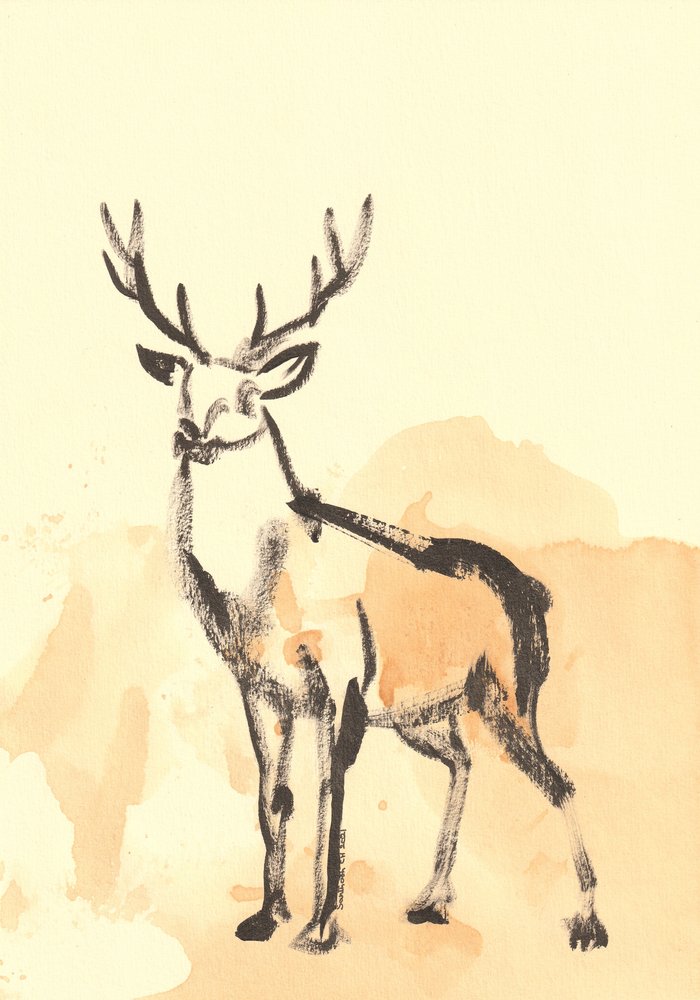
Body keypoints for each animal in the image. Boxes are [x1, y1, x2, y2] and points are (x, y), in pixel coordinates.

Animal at [100, 195, 608, 954]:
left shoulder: (339, 680)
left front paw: (319, 927)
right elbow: (272, 796)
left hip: (509, 689)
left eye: (250, 394)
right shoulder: (259, 687)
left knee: (559, 779)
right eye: (183, 387)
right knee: (464, 761)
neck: (256, 602)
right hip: (422, 709)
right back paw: (430, 901)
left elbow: (329, 793)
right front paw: (262, 918)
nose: (189, 435)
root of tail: (534, 591)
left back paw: (587, 923)